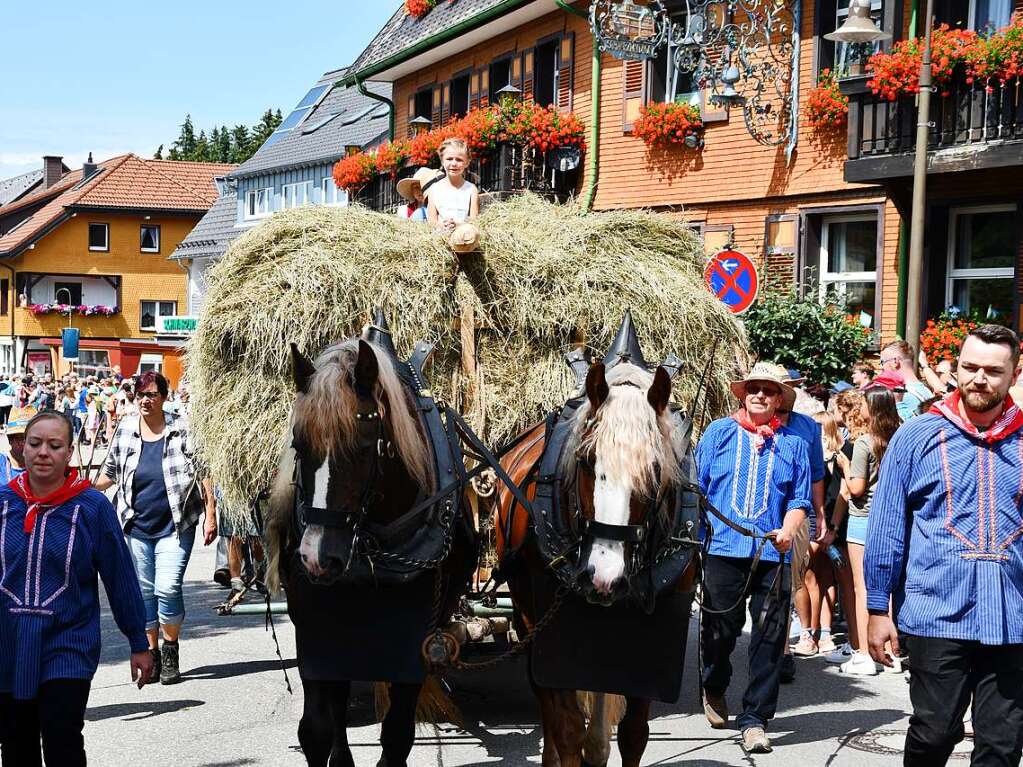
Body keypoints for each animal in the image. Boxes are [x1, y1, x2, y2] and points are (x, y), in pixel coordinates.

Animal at [270, 335, 476, 767]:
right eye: (299, 444)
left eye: (363, 447)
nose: (317, 558)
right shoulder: (315, 631)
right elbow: (316, 728)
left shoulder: (414, 642)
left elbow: (397, 734)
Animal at [495, 362, 695, 767]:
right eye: (587, 461)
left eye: (655, 468)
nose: (604, 578)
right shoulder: (554, 631)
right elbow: (567, 726)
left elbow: (634, 734)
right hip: (526, 614)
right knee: (545, 701)